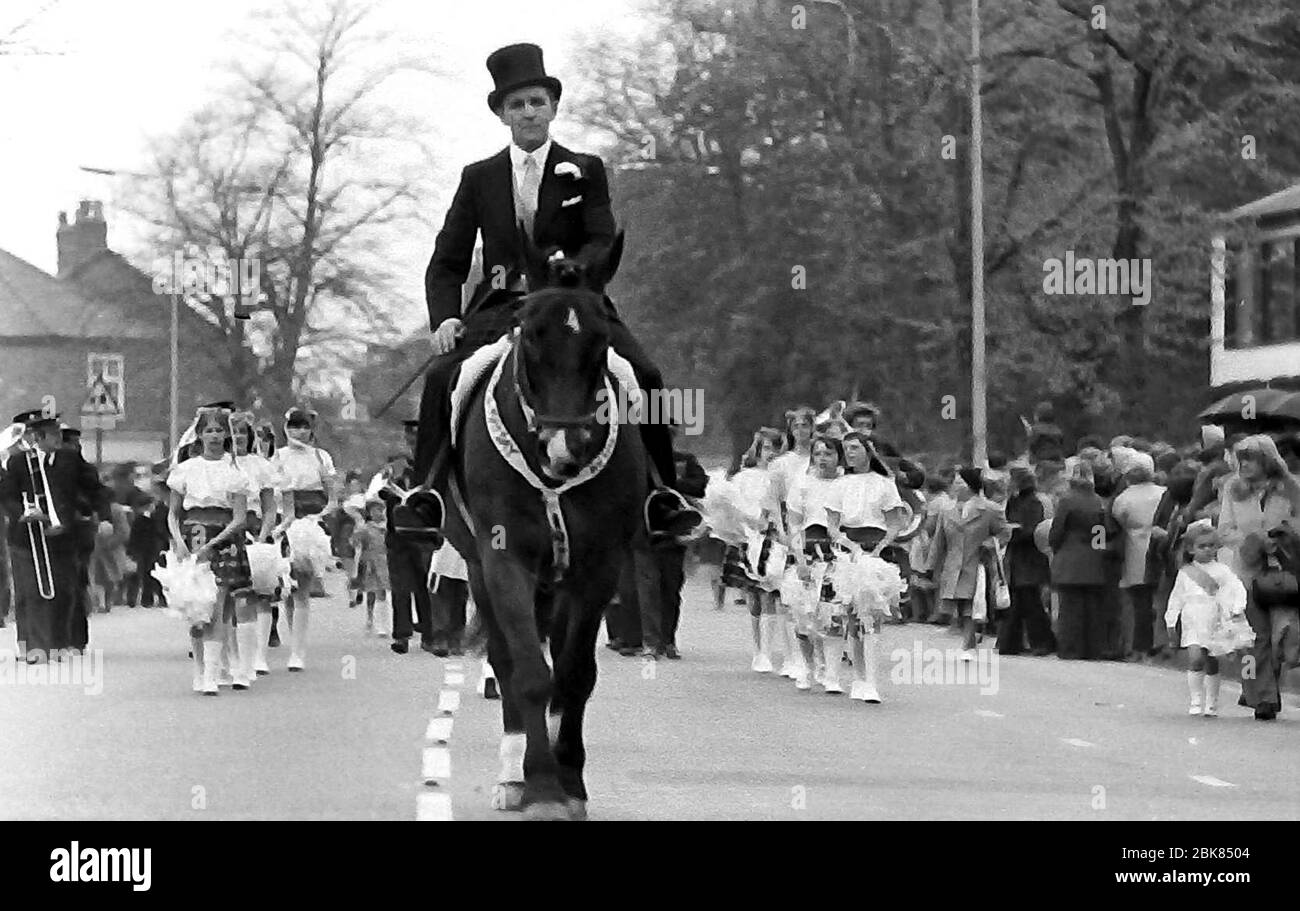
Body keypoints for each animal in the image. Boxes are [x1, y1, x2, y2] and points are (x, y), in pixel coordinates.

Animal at [441, 231, 644, 816]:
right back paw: (513, 775)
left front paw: (569, 777)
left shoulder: (599, 565)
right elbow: (530, 673)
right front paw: (541, 785)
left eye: (601, 337)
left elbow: (574, 675)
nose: (564, 447)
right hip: (479, 570)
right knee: (507, 663)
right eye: (530, 334)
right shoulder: (503, 559)